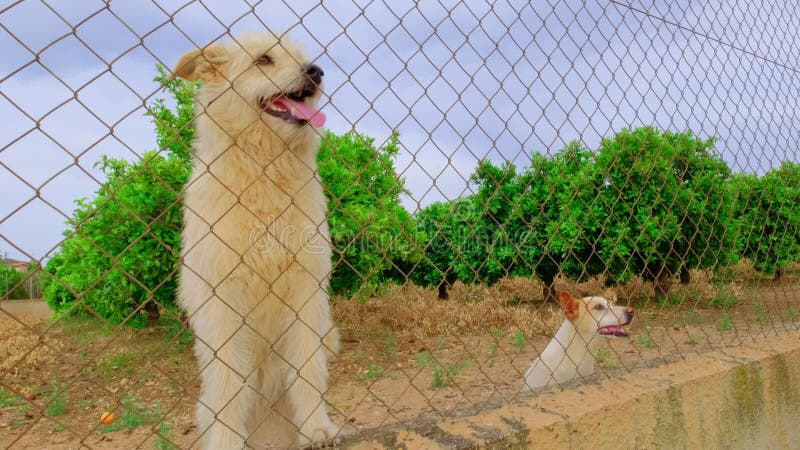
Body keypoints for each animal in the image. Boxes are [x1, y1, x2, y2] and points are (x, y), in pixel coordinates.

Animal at [175, 33, 338, 448]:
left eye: (301, 57)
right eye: (264, 59)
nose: (316, 72)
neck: (264, 169)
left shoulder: (306, 291)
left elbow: (309, 367)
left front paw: (316, 427)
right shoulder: (221, 301)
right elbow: (229, 383)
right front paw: (226, 441)